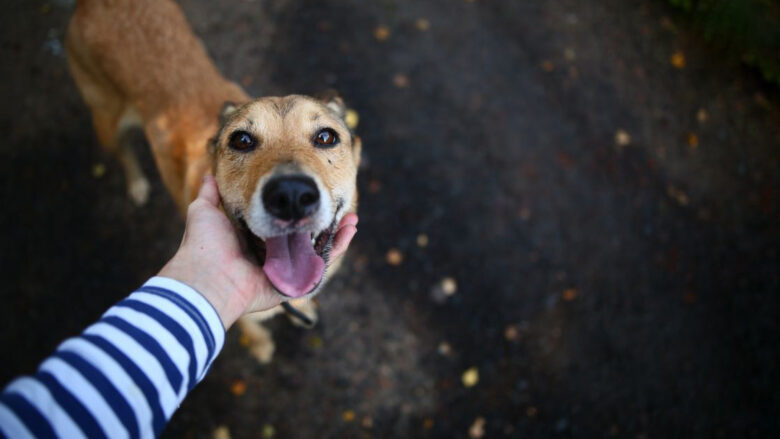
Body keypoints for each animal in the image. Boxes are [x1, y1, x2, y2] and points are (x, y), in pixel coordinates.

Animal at [66, 0, 360, 364]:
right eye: (242, 140)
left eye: (326, 137)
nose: (291, 195)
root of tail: (94, 3)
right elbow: (251, 331)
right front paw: (261, 347)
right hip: (106, 120)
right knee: (123, 152)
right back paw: (136, 184)